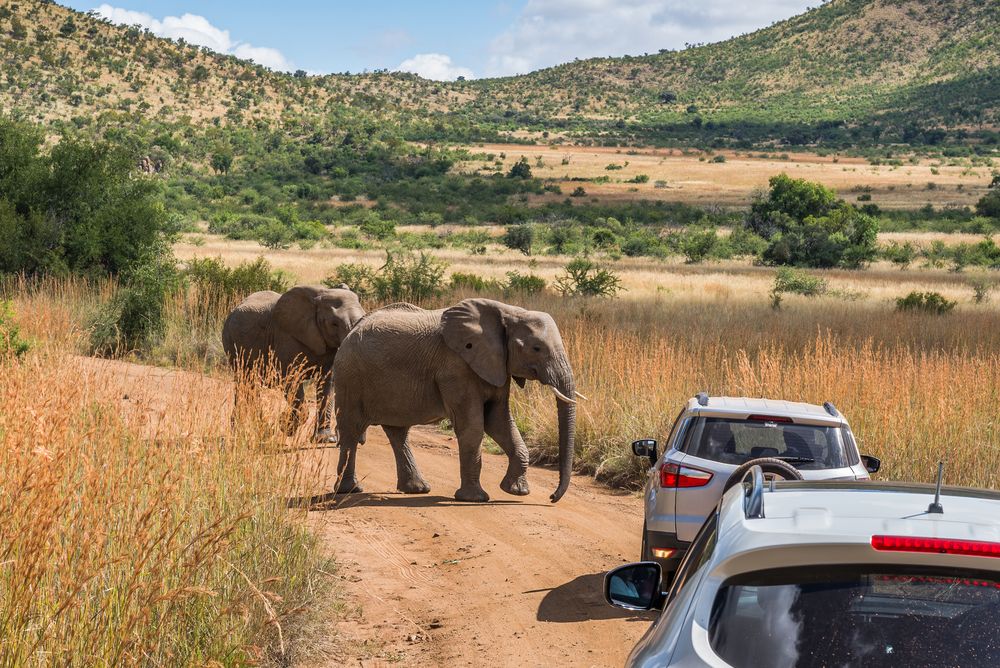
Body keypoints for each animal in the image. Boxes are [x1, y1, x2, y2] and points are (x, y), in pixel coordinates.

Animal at [222, 284, 365, 442]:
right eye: (334, 323)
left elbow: (327, 383)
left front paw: (325, 439)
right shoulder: (286, 338)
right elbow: (291, 380)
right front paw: (285, 425)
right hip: (233, 346)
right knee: (246, 384)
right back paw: (251, 432)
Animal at [332, 298, 577, 503]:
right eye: (536, 348)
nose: (552, 497)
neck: (508, 312)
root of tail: (352, 331)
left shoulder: (496, 366)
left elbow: (499, 422)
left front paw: (516, 491)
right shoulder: (455, 369)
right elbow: (473, 426)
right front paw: (475, 499)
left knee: (398, 432)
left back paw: (417, 489)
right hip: (349, 377)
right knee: (351, 430)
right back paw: (349, 490)